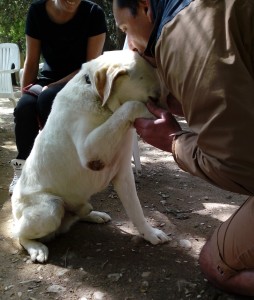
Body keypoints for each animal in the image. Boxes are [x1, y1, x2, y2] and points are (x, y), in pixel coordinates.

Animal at [11, 49, 169, 262]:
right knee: (19, 234)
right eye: (154, 98)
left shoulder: (124, 174)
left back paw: (94, 214)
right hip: (50, 209)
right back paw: (36, 248)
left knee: (81, 212)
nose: (169, 115)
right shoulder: (89, 149)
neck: (97, 98)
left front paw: (150, 234)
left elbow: (137, 211)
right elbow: (130, 106)